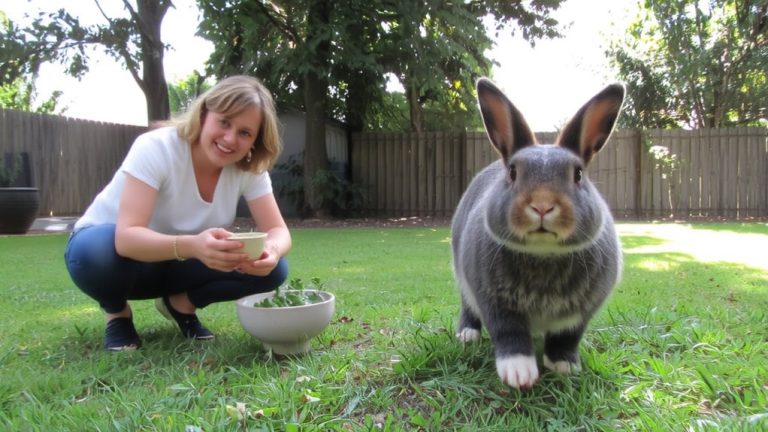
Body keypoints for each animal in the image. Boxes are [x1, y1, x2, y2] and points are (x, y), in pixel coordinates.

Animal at [451, 78, 625, 389]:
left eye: (578, 174)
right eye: (512, 173)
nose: (542, 205)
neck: (543, 254)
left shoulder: (580, 315)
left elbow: (566, 338)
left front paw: (564, 365)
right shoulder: (495, 303)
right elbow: (509, 334)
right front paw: (519, 374)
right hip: (463, 279)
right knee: (467, 306)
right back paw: (468, 335)